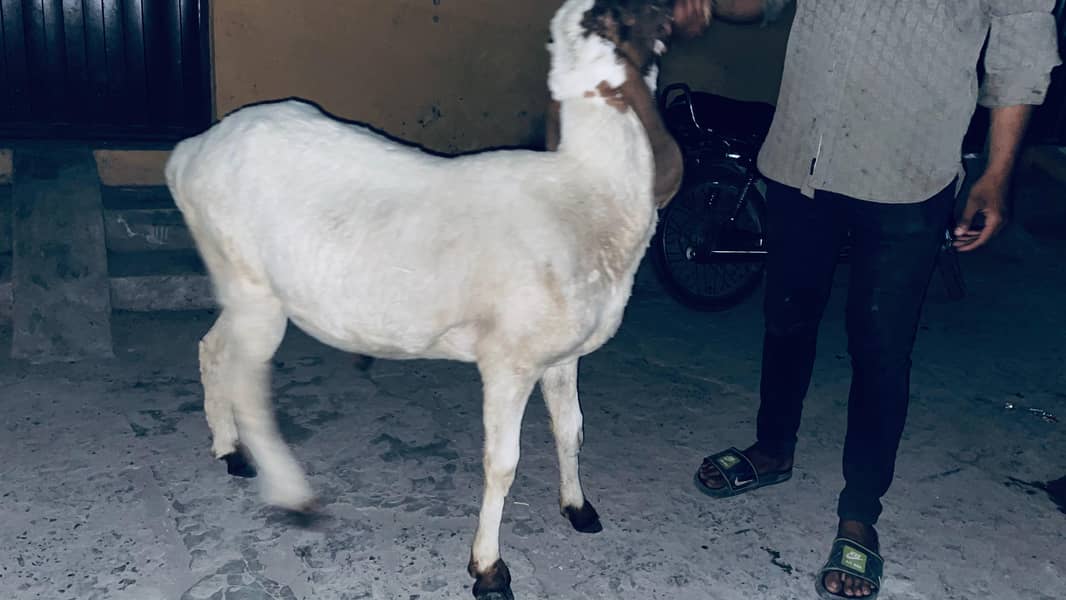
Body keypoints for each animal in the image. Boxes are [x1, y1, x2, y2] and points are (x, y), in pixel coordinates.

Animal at [165, 0, 681, 598]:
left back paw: (229, 451)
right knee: (248, 384)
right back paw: (292, 494)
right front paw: (488, 569)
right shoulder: (508, 361)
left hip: (241, 286)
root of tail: (188, 153)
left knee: (212, 349)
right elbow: (502, 462)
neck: (589, 191)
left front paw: (578, 508)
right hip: (252, 289)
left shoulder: (562, 355)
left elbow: (571, 428)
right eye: (634, 17)